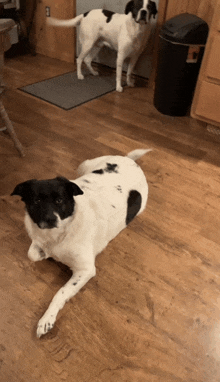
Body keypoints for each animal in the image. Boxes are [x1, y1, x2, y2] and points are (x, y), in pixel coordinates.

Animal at [10, 149, 151, 338]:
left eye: (59, 200)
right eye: (36, 201)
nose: (50, 219)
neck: (61, 233)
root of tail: (129, 160)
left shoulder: (85, 270)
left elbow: (60, 293)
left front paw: (47, 319)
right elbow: (32, 254)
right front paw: (43, 253)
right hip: (84, 165)